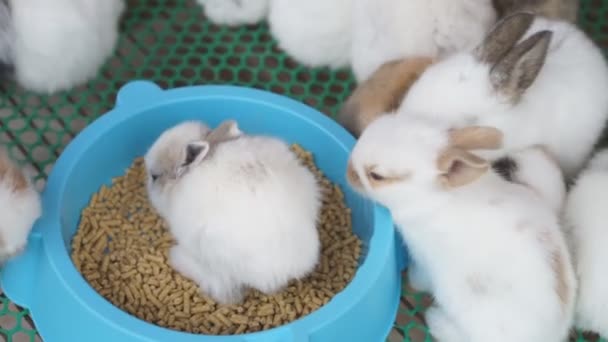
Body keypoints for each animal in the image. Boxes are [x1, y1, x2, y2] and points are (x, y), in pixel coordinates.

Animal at [346, 114, 576, 342]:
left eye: (376, 176)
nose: (348, 171)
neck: (431, 198)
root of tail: (550, 335)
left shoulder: (424, 258)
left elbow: (420, 277)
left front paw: (413, 281)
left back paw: (435, 319)